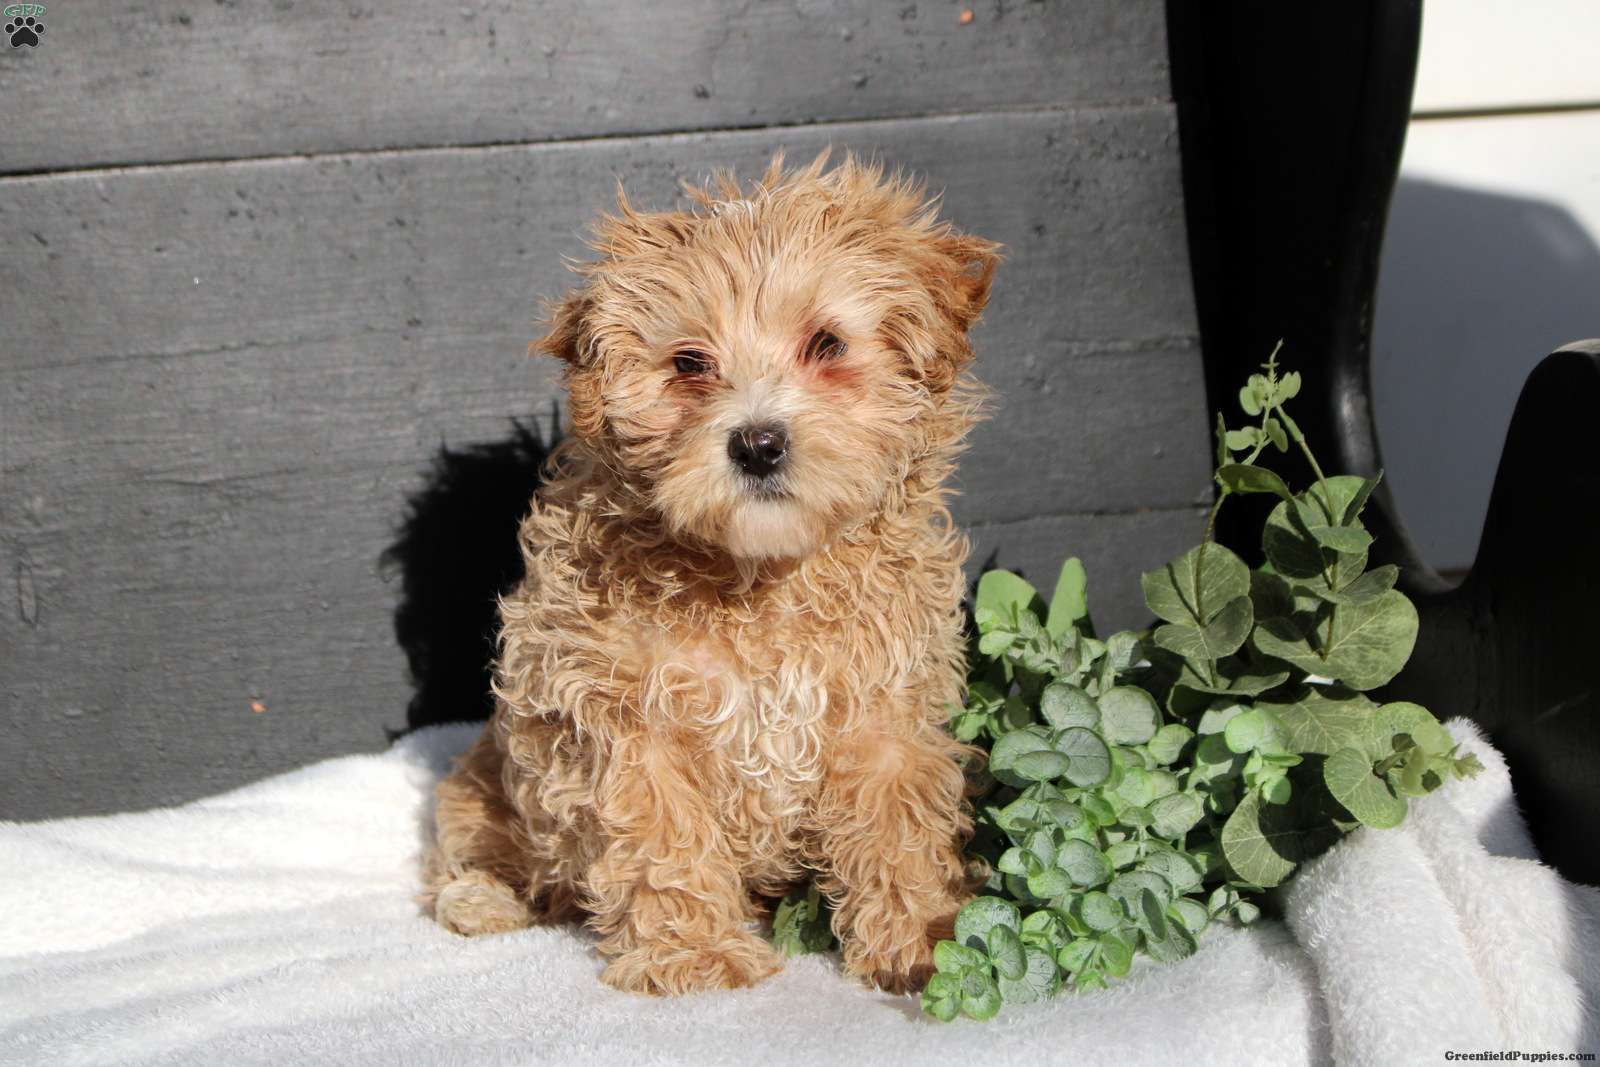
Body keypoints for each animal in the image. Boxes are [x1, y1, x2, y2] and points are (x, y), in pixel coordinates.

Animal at [423, 153, 1000, 996]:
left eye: (826, 344)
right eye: (689, 363)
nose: (757, 443)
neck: (760, 575)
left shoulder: (884, 708)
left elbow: (897, 827)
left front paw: (923, 942)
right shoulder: (626, 720)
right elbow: (663, 839)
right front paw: (696, 958)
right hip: (487, 778)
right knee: (475, 843)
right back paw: (482, 898)